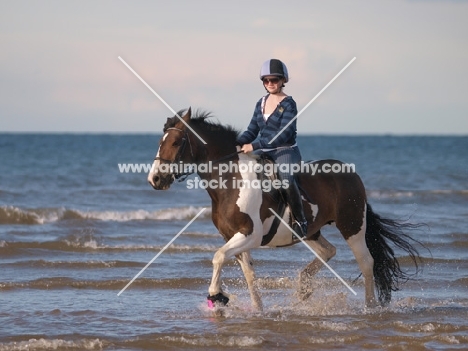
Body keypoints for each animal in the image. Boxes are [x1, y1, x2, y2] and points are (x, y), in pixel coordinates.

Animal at [148, 108, 422, 312]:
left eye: (175, 142)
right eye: (160, 142)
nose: (155, 180)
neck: (231, 180)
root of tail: (351, 174)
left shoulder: (250, 234)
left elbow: (218, 256)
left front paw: (216, 294)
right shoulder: (233, 238)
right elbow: (248, 274)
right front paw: (257, 310)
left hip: (352, 226)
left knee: (366, 262)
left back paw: (369, 307)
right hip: (310, 230)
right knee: (329, 251)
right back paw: (303, 287)